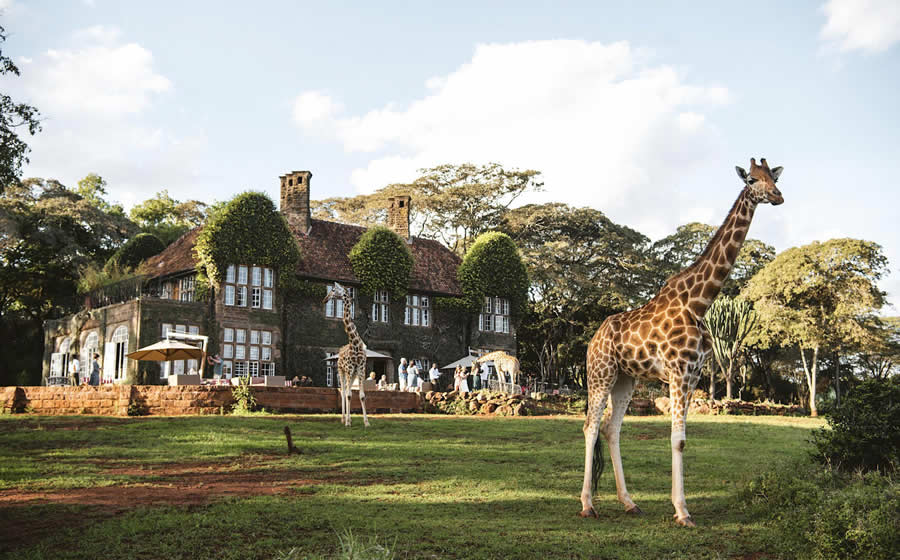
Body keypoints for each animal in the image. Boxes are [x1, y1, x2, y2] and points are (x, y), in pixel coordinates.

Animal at [322, 282, 370, 427]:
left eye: (333, 290)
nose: (325, 299)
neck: (355, 343)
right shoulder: (348, 369)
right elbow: (348, 395)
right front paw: (348, 422)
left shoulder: (360, 369)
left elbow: (361, 395)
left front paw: (366, 422)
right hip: (341, 371)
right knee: (343, 392)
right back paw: (344, 419)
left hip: (352, 373)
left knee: (347, 391)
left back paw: (348, 418)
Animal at [579, 158, 784, 527]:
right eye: (751, 179)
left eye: (773, 177)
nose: (777, 196)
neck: (700, 302)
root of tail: (594, 338)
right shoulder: (677, 372)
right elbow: (677, 440)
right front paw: (682, 511)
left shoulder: (693, 374)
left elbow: (683, 440)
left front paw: (681, 507)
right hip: (600, 373)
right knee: (590, 427)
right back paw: (588, 504)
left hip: (627, 379)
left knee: (612, 430)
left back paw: (629, 502)